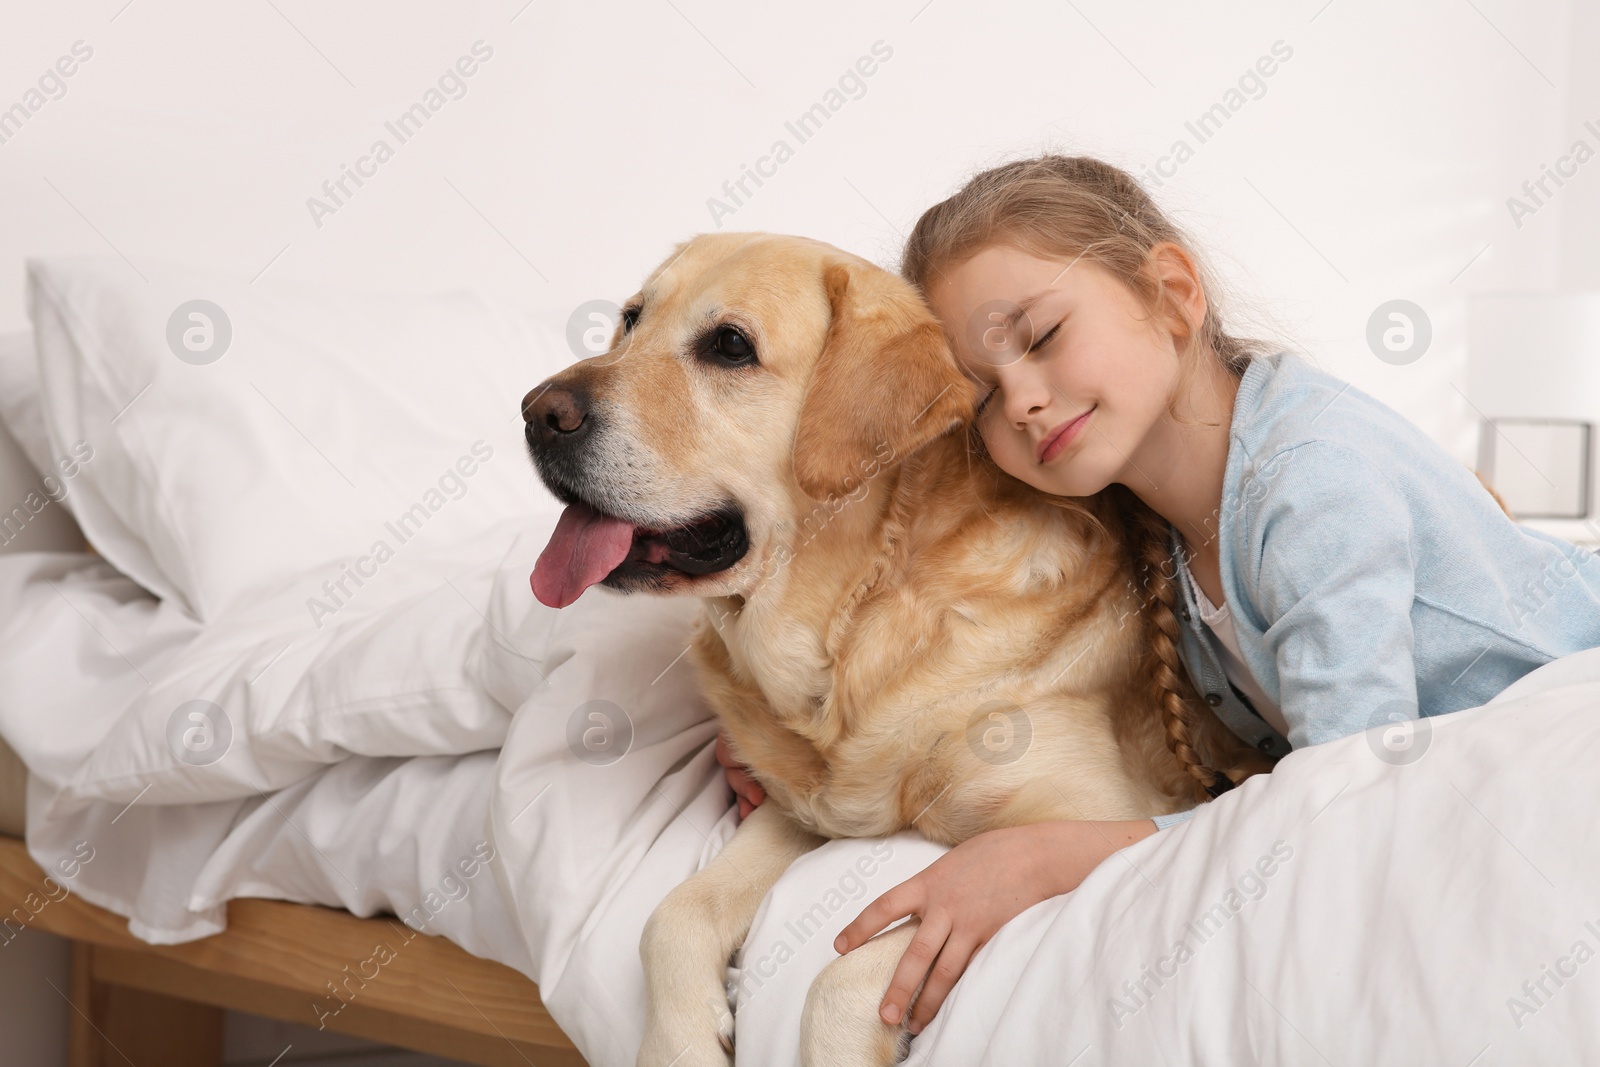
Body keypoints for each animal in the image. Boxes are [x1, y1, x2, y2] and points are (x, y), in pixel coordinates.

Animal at [518, 235, 1267, 1067]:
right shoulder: (806, 811)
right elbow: (669, 917)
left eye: (730, 346)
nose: (538, 413)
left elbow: (854, 969)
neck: (857, 628)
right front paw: (679, 1042)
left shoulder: (1098, 817)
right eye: (630, 319)